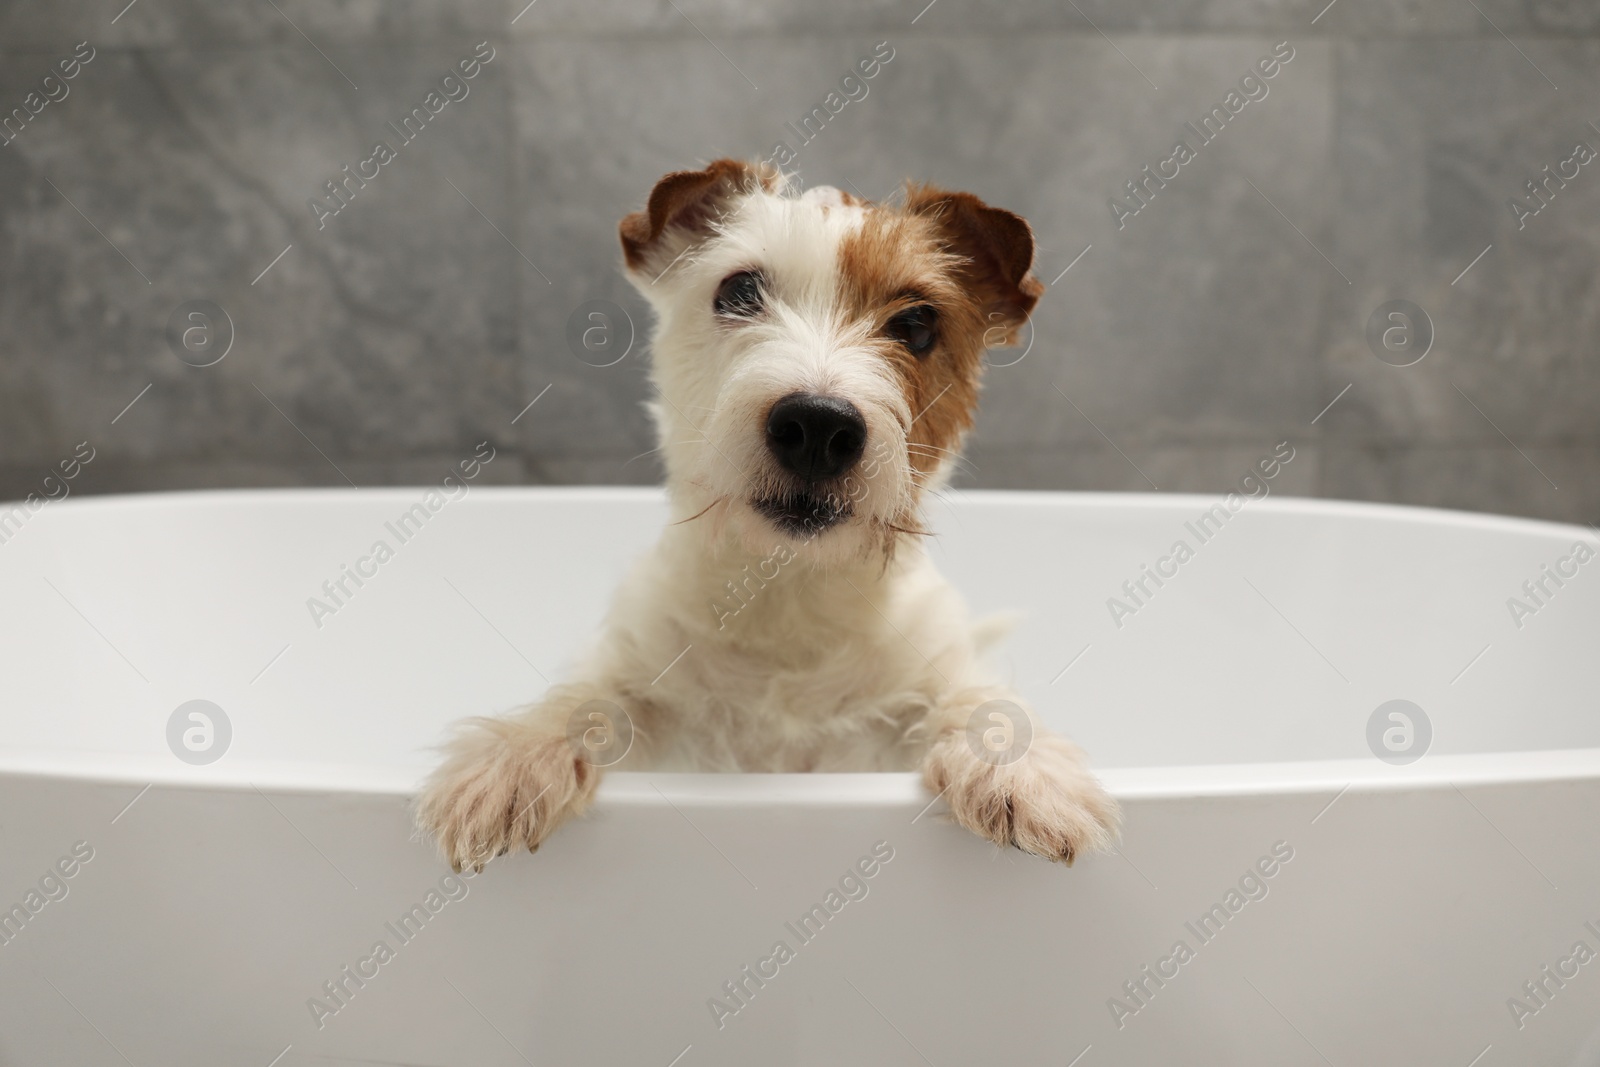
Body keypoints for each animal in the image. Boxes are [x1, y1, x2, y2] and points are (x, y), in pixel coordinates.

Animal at [422, 160, 1126, 876]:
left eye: (917, 325)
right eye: (739, 291)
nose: (817, 425)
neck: (788, 594)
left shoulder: (924, 679)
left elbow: (974, 702)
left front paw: (1025, 773)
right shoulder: (645, 675)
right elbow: (587, 700)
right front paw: (511, 758)